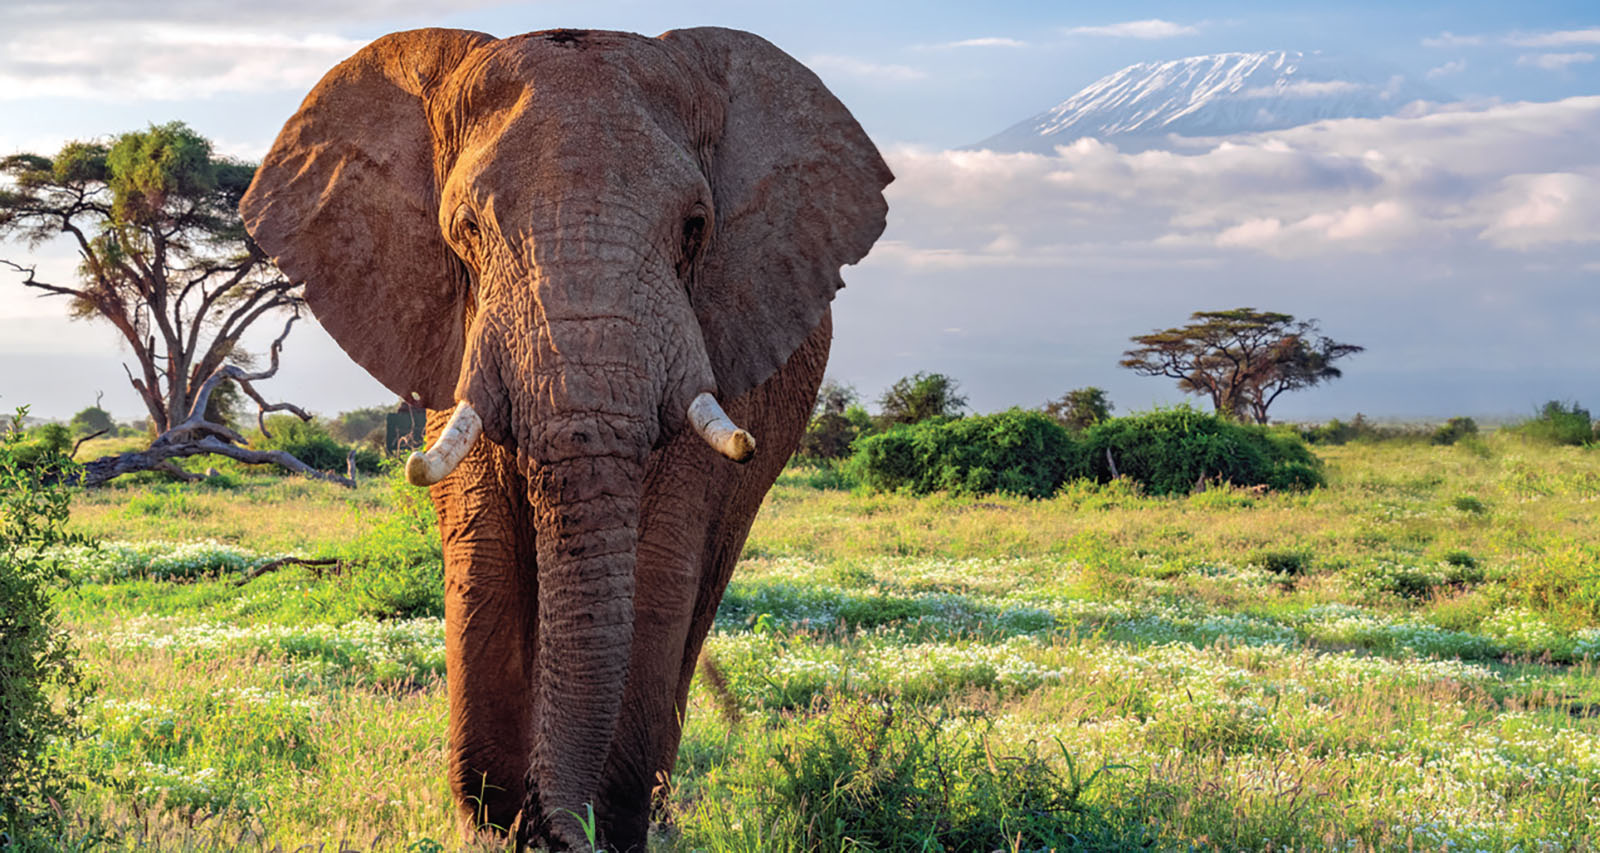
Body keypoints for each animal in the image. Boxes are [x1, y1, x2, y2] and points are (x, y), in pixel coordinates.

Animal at [239, 25, 891, 851]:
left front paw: (596, 825)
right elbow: (483, 545)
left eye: (695, 229)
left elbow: (657, 564)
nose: (558, 826)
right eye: (467, 230)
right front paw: (492, 825)